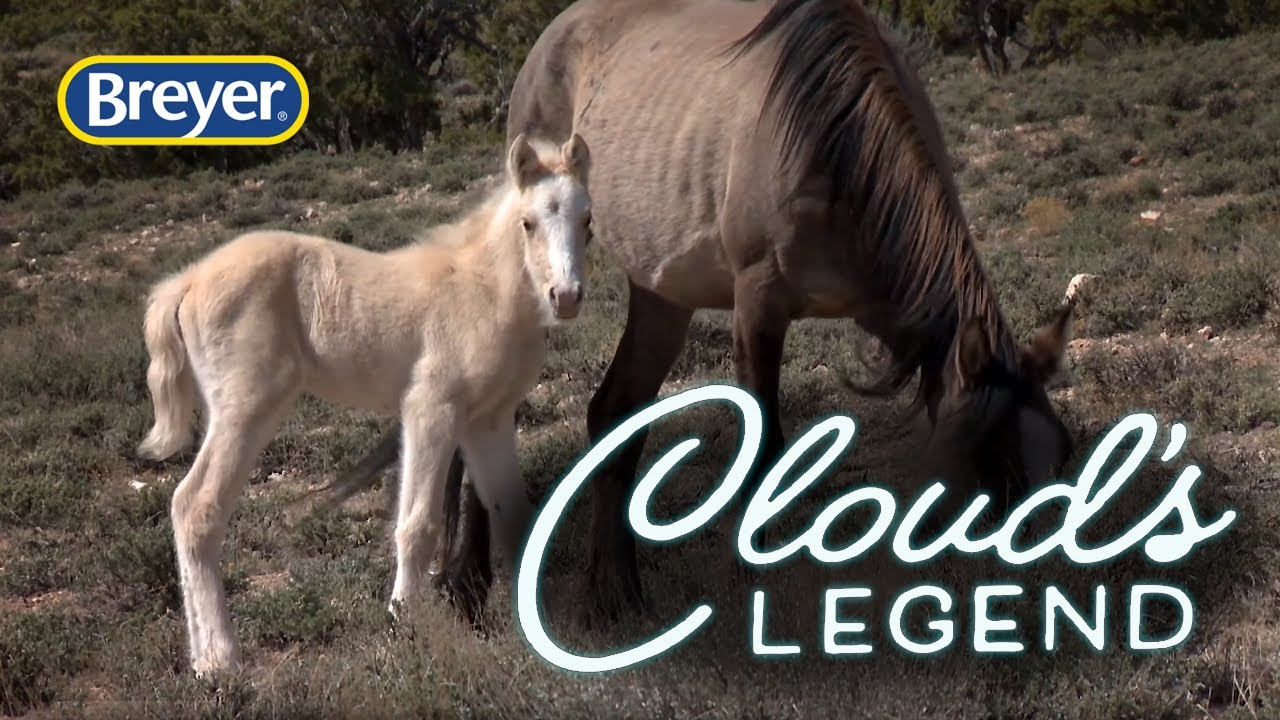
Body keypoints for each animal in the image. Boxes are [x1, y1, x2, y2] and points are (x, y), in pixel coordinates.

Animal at [135, 133, 594, 675]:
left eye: (587, 220)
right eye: (528, 222)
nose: (566, 297)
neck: (484, 291)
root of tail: (186, 281)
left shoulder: (489, 421)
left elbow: (514, 515)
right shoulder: (430, 409)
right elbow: (417, 525)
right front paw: (407, 624)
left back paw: (203, 657)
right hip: (244, 411)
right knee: (196, 508)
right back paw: (219, 661)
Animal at [331, 0, 1078, 624]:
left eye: (1063, 461)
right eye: (997, 467)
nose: (1044, 602)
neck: (834, 142)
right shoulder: (759, 304)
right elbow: (766, 451)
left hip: (662, 297)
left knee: (613, 415)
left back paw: (614, 596)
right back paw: (466, 584)